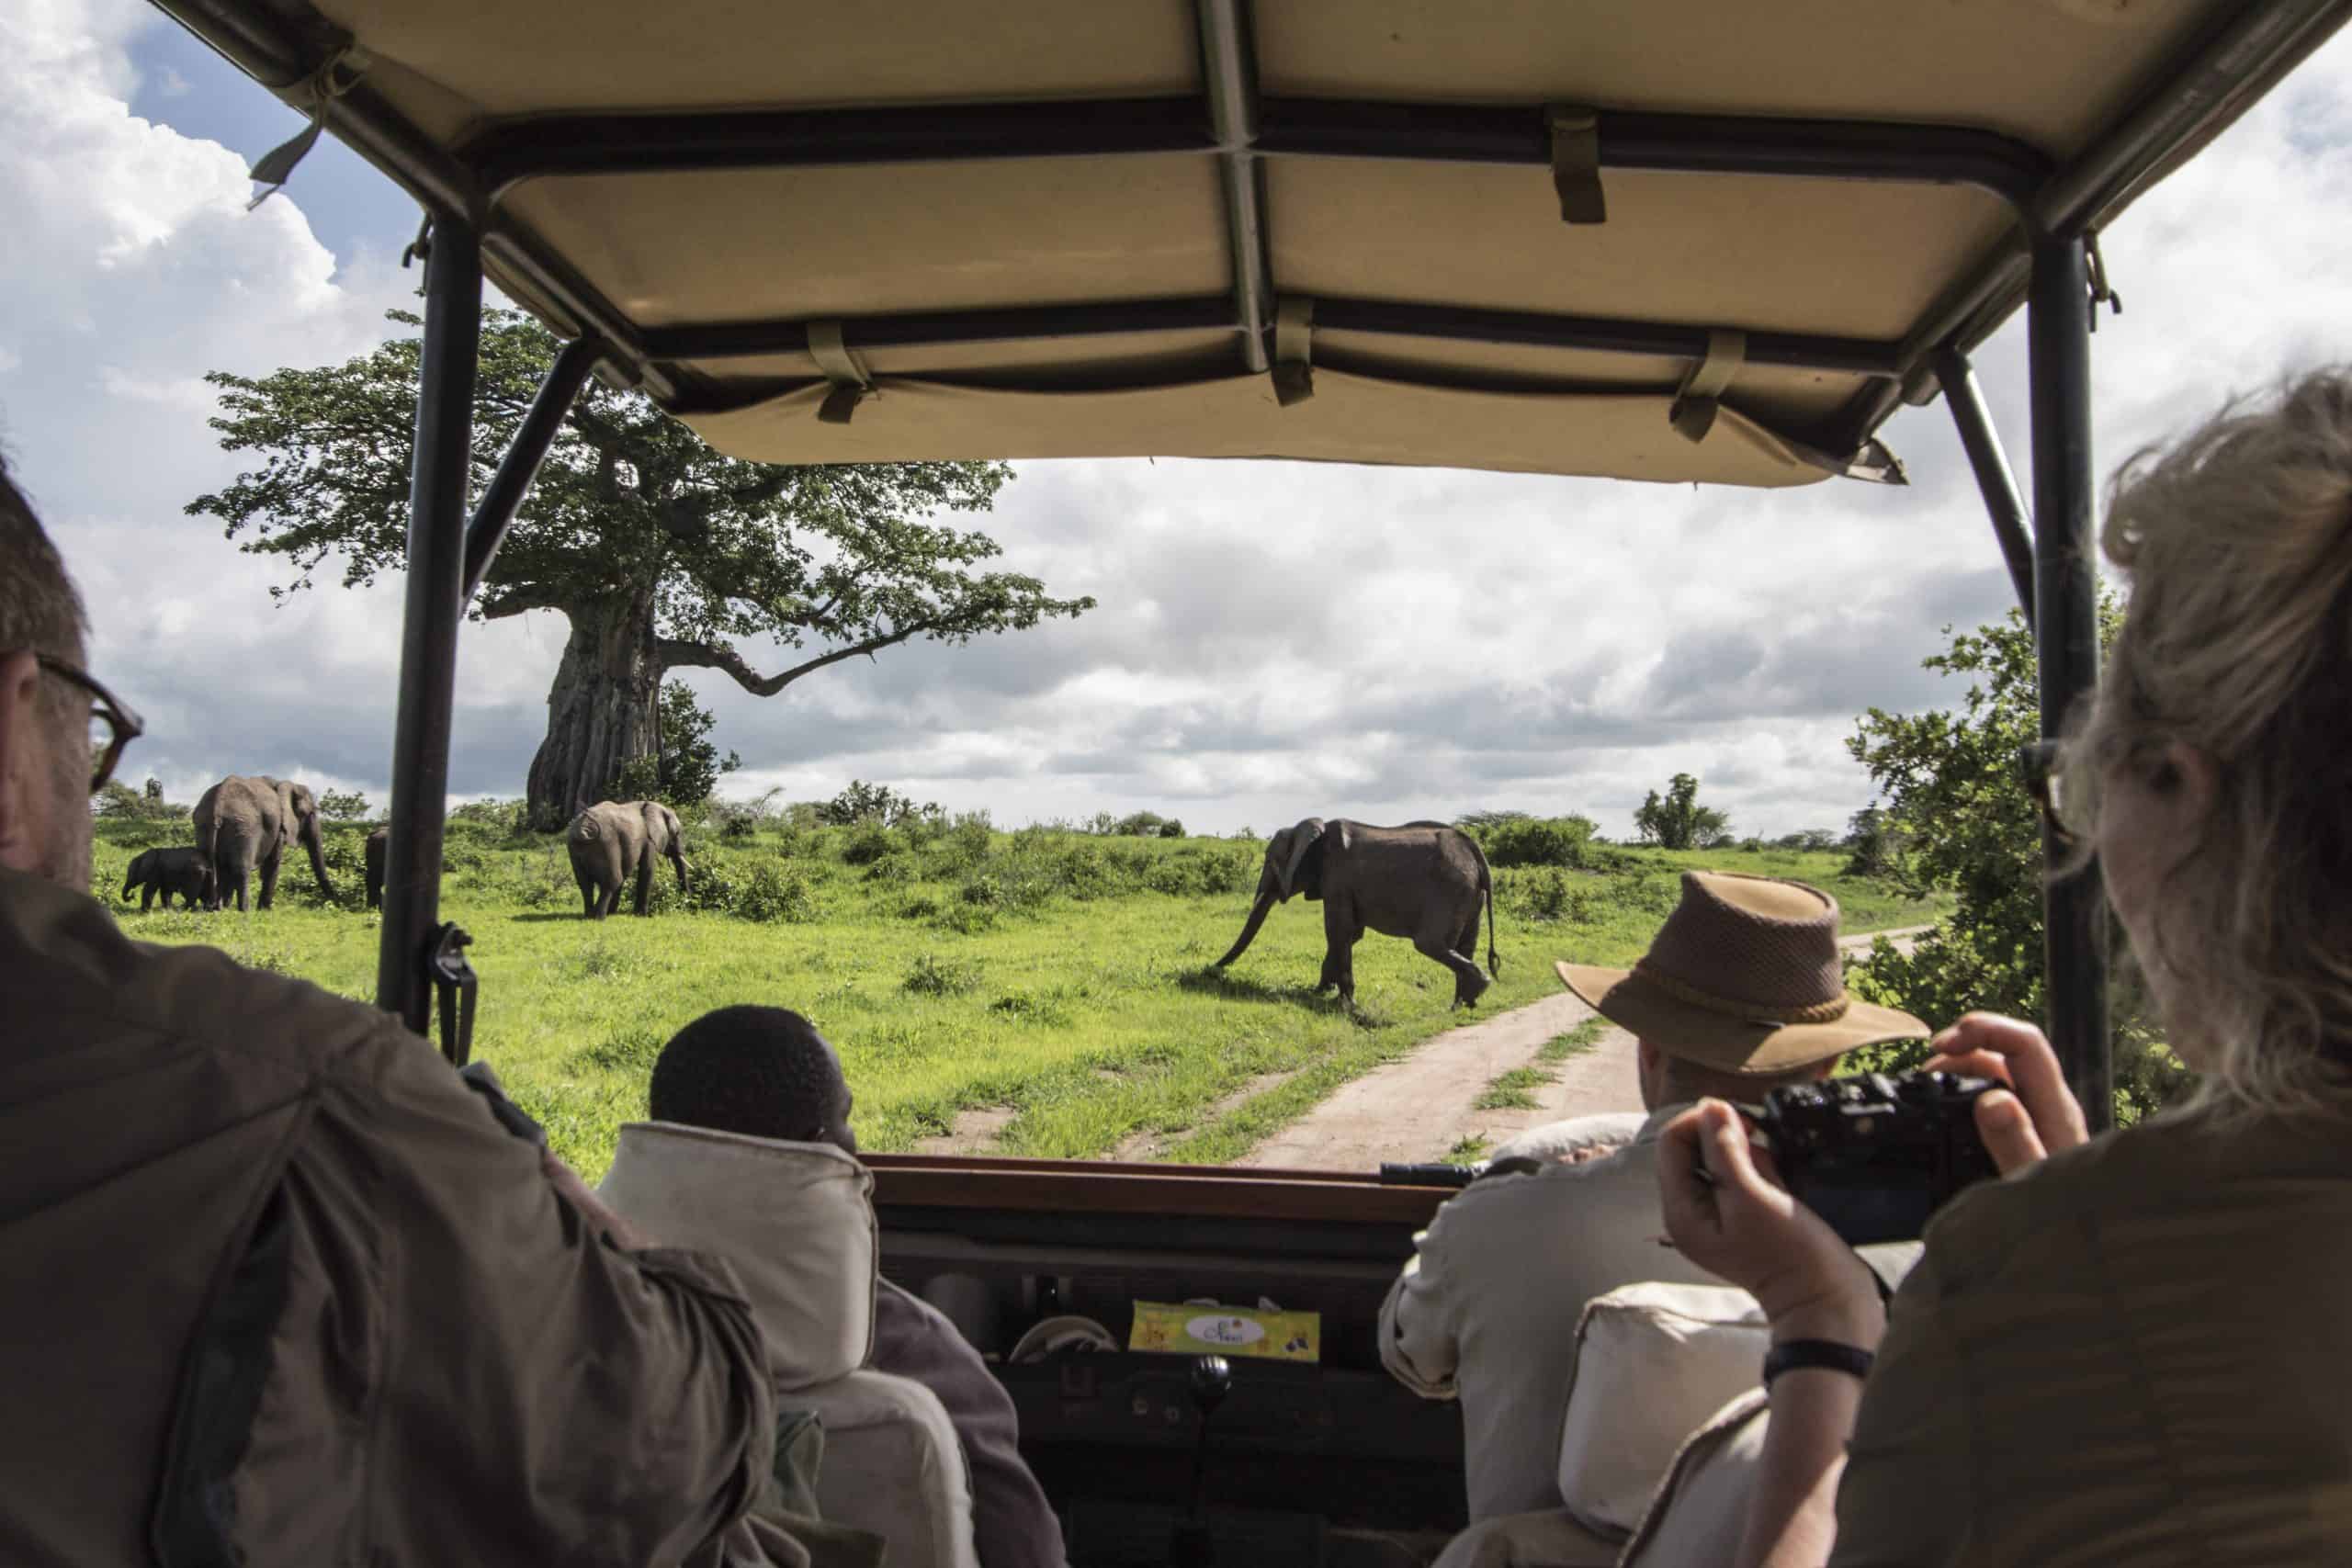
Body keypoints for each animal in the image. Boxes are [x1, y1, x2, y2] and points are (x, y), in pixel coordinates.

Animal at [193, 775, 337, 912]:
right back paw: (244, 911)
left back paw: (215, 908)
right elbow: (272, 863)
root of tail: (218, 805)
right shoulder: (279, 827)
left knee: (217, 866)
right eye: (310, 813)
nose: (333, 902)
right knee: (241, 869)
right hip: (244, 826)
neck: (283, 784)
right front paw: (265, 910)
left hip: (204, 824)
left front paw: (226, 907)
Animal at [567, 800, 689, 919]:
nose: (684, 903)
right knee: (613, 880)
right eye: (676, 833)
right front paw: (642, 916)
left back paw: (589, 916)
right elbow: (647, 870)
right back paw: (599, 917)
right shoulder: (649, 840)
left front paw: (613, 913)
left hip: (574, 846)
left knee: (585, 884)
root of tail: (584, 829)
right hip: (607, 843)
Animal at [1215, 817, 1500, 1008]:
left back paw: (1478, 989)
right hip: (1470, 893)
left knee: (1429, 943)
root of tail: (1474, 849)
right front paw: (1320, 992)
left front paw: (1344, 1004)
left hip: (1450, 889)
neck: (1312, 832)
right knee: (1465, 944)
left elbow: (1338, 931)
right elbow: (1349, 934)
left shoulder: (1337, 880)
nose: (1212, 970)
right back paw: (1463, 1004)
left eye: (1270, 861)